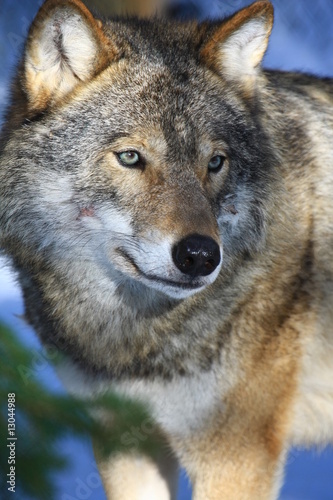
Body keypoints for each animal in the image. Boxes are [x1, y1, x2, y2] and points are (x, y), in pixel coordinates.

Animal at [0, 0, 332, 498]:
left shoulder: (236, 456)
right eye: (131, 157)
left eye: (215, 162)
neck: (135, 342)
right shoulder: (124, 439)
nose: (200, 256)